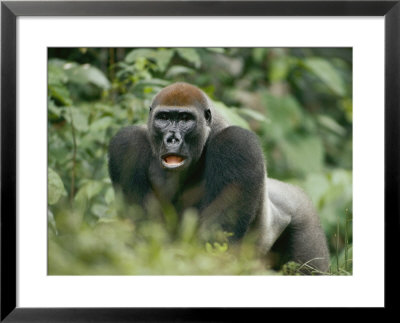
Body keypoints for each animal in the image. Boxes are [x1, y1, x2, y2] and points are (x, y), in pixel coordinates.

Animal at [108, 81, 330, 274]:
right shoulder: (126, 144)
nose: (172, 138)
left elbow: (214, 240)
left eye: (185, 119)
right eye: (163, 117)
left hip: (304, 212)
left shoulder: (236, 143)